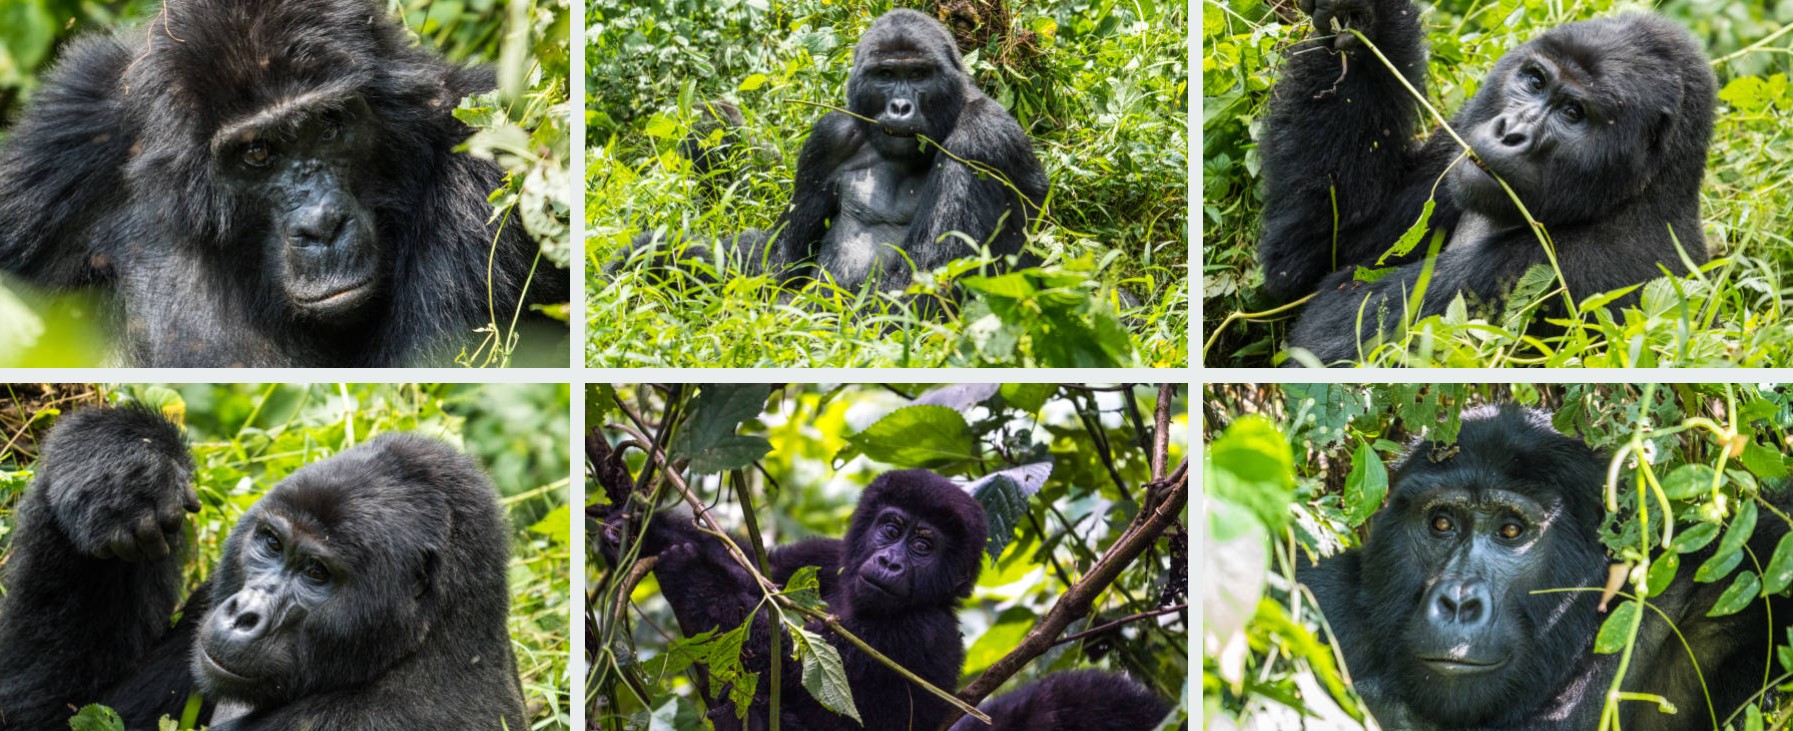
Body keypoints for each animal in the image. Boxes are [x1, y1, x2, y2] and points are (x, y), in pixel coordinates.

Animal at [631, 8, 1047, 293]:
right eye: (885, 75)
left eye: (918, 75)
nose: (900, 107)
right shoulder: (828, 139)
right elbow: (780, 260)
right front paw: (657, 255)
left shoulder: (981, 140)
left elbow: (925, 282)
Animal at [1255, 0, 1714, 365]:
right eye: (1535, 81)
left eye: (1573, 113)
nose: (1510, 132)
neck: (1638, 195)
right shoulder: (1458, 137)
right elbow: (1315, 251)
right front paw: (1366, 20)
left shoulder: (1564, 273)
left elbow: (1325, 337)